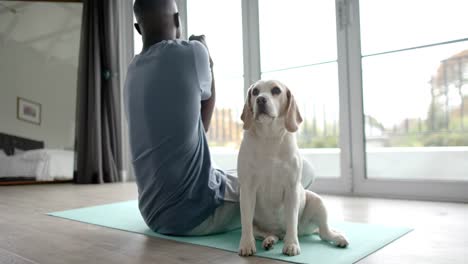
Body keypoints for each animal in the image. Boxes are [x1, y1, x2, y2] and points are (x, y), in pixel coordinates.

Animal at [238, 80, 348, 256]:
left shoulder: (291, 188)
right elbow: (246, 222)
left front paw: (291, 244)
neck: (269, 137)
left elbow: (291, 220)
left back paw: (337, 238)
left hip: (316, 201)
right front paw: (247, 244)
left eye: (276, 90)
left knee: (324, 233)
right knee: (271, 234)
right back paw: (269, 240)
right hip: (259, 225)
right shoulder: (247, 189)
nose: (260, 100)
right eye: (255, 91)